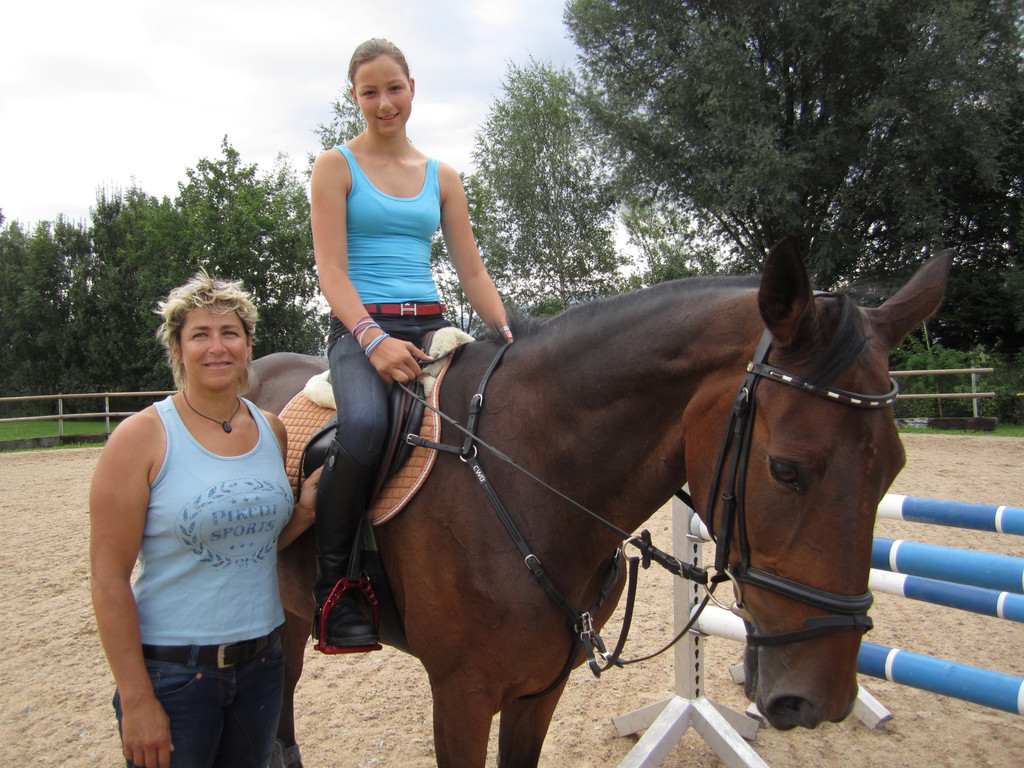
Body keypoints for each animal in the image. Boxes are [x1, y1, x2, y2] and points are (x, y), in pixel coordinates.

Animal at [249, 236, 951, 768]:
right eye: (785, 470)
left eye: (893, 469)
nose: (820, 699)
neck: (525, 475)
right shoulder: (461, 695)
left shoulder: (540, 689)